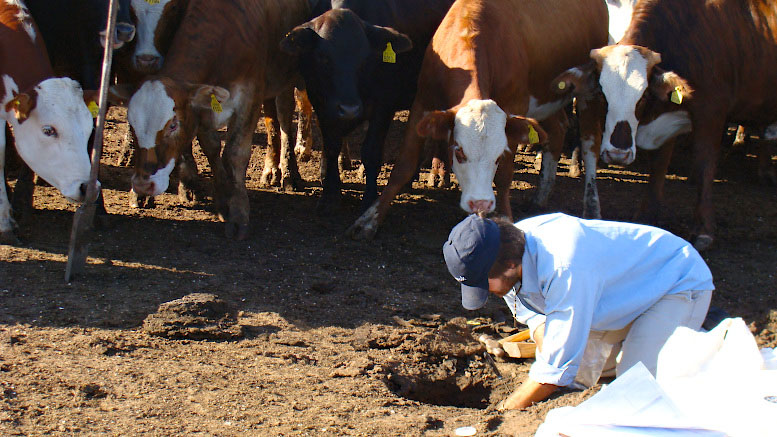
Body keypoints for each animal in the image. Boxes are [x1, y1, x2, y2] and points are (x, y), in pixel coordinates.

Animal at [126, 0, 320, 238]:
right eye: (133, 126)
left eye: (173, 125)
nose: (142, 185)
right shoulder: (201, 105)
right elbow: (211, 148)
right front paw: (222, 202)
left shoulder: (249, 97)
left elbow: (234, 154)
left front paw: (238, 213)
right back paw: (271, 170)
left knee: (284, 114)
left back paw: (289, 173)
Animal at [282, 0, 458, 213]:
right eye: (323, 58)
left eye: (365, 57)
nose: (349, 109)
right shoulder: (322, 104)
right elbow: (331, 146)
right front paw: (330, 196)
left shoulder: (383, 105)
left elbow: (371, 151)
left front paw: (370, 198)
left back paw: (439, 173)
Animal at [346, 0, 608, 238]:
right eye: (459, 152)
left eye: (497, 156)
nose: (480, 203)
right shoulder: (422, 103)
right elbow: (404, 165)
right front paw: (369, 219)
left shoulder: (515, 109)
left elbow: (504, 175)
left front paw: (505, 218)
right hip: (549, 99)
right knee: (558, 129)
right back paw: (541, 194)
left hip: (589, 90)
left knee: (590, 144)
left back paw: (592, 207)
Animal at [556, 0, 777, 249]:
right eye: (603, 94)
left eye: (643, 95)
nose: (618, 155)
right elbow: (659, 165)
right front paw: (647, 215)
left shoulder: (712, 112)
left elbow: (705, 166)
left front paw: (703, 229)